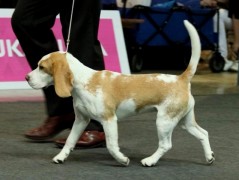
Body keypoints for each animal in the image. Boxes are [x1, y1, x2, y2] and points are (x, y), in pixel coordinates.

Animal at [25, 20, 215, 167]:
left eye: (41, 67)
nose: (26, 77)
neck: (84, 80)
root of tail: (180, 79)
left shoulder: (109, 120)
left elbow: (111, 145)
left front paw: (122, 159)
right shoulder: (81, 120)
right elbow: (70, 141)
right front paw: (61, 157)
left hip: (164, 121)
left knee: (166, 145)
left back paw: (150, 160)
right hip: (185, 121)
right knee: (203, 134)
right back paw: (209, 157)